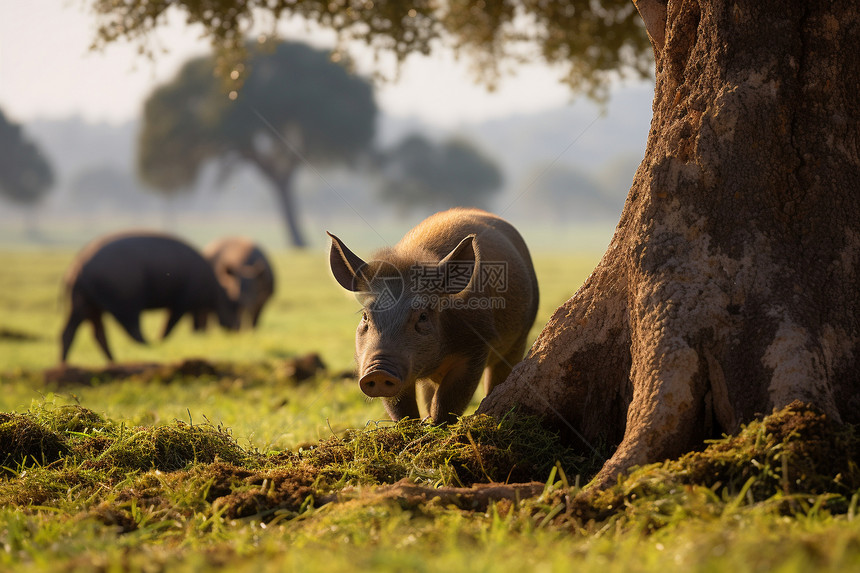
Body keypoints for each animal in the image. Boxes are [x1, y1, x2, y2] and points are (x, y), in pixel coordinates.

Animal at [59, 231, 239, 362]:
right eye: (232, 305)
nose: (236, 328)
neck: (217, 290)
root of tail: (78, 265)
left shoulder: (194, 306)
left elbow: (197, 324)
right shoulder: (181, 304)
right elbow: (170, 324)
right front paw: (161, 340)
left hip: (85, 304)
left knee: (82, 333)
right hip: (127, 302)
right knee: (132, 331)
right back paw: (149, 347)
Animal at [330, 208, 536, 422]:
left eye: (422, 316)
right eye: (365, 316)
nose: (378, 371)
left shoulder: (477, 345)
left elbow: (448, 400)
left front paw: (436, 425)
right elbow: (402, 407)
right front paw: (416, 425)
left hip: (520, 337)